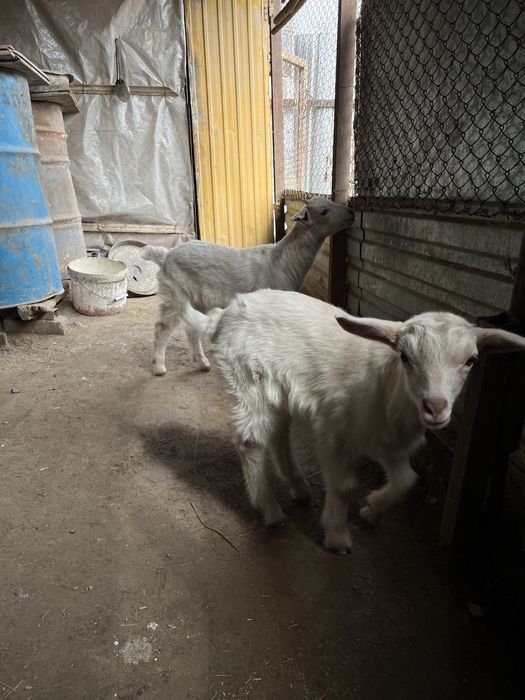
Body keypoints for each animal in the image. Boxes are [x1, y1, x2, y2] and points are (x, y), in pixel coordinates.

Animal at [141, 198, 354, 376]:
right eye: (324, 211)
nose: (351, 213)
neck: (280, 260)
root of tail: (165, 255)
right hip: (175, 293)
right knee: (162, 328)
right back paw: (159, 367)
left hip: (196, 299)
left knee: (192, 328)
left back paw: (202, 364)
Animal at [209, 289, 525, 554]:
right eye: (404, 356)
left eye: (471, 360)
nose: (435, 407)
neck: (387, 388)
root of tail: (226, 312)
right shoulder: (333, 432)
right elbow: (344, 487)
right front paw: (337, 537)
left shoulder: (392, 444)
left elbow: (406, 482)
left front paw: (371, 510)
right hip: (247, 381)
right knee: (251, 441)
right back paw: (271, 509)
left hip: (277, 393)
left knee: (278, 434)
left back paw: (299, 489)